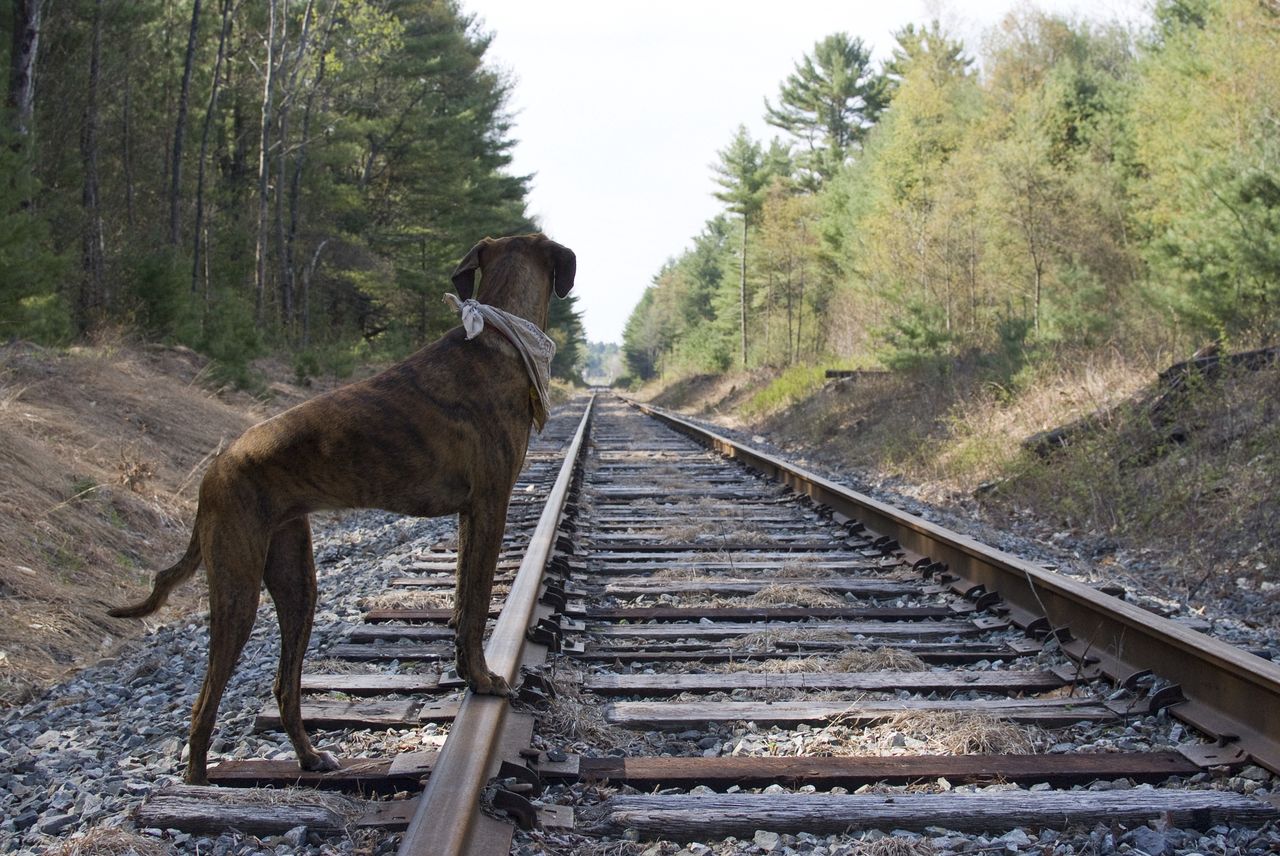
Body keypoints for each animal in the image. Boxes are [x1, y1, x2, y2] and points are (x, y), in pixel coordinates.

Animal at [107, 231, 578, 783]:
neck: (500, 335)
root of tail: (215, 468)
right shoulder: (490, 507)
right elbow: (478, 605)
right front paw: (484, 680)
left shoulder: (468, 517)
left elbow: (463, 606)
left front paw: (468, 674)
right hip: (237, 592)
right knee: (204, 705)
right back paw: (199, 783)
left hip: (296, 584)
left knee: (284, 686)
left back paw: (310, 756)